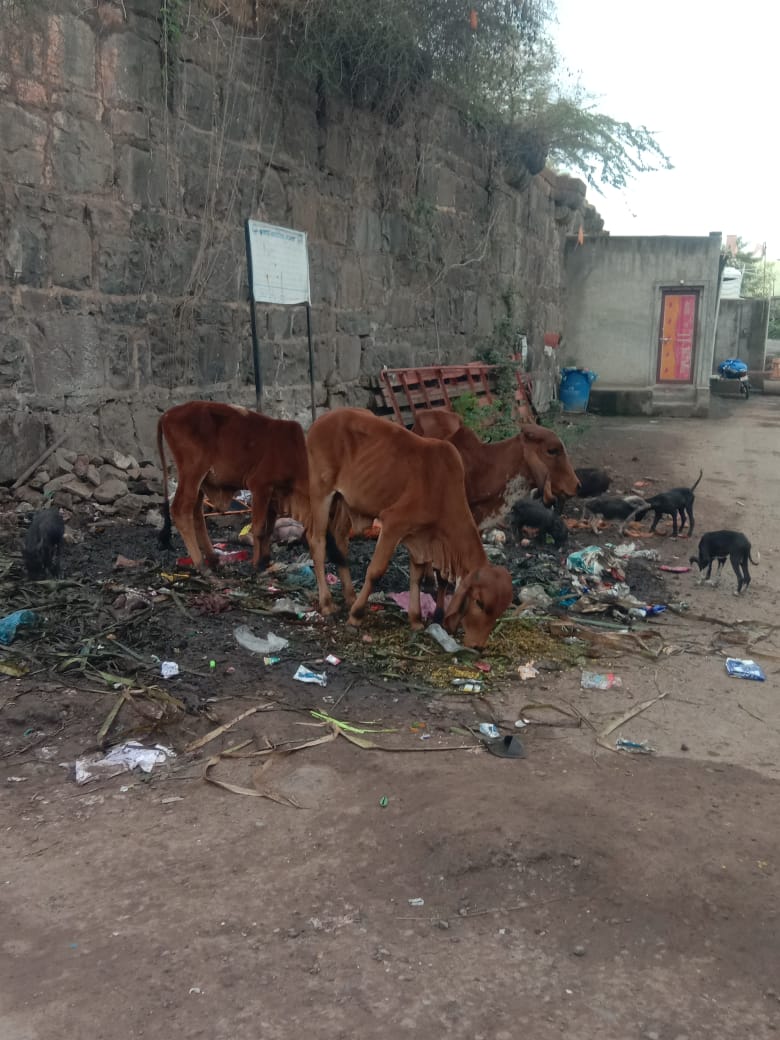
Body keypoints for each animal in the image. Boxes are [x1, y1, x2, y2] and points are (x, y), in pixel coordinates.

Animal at [158, 401, 312, 574]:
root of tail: (167, 414)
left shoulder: (274, 496)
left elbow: (269, 529)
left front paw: (266, 560)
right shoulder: (260, 487)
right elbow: (259, 529)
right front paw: (257, 564)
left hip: (200, 481)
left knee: (196, 514)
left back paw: (213, 559)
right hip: (192, 472)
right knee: (180, 510)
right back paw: (201, 565)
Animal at [307, 407, 515, 644]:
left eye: (498, 612)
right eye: (479, 602)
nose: (477, 646)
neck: (440, 490)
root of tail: (322, 419)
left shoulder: (420, 536)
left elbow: (416, 576)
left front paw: (415, 620)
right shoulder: (393, 523)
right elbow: (376, 571)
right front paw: (356, 616)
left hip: (344, 501)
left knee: (340, 540)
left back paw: (350, 596)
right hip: (321, 491)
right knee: (317, 542)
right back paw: (327, 604)